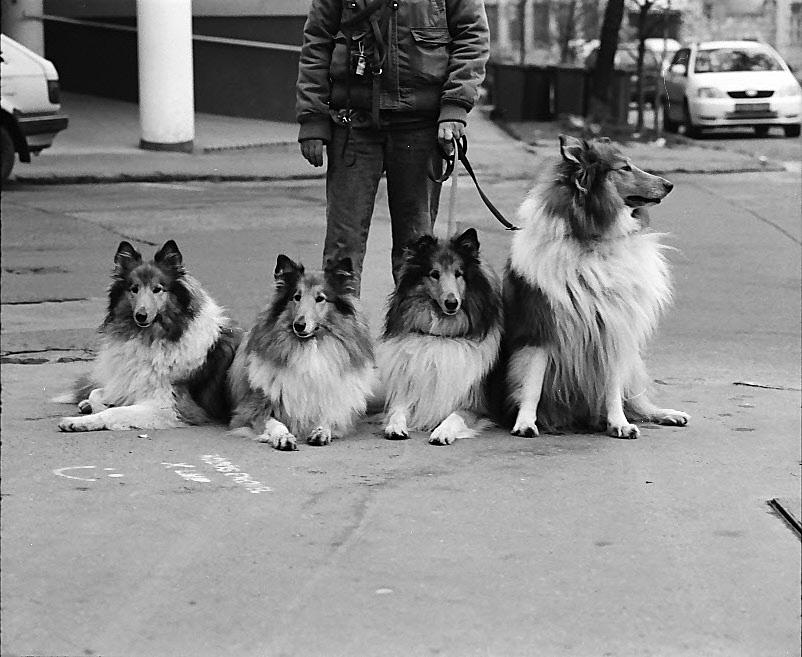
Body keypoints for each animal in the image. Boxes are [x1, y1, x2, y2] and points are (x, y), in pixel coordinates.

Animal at [54, 240, 241, 430]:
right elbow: (97, 392)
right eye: (134, 289)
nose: (141, 315)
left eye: (157, 289)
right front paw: (96, 404)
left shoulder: (170, 407)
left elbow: (115, 412)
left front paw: (79, 422)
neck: (154, 337)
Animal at [227, 256, 374, 452]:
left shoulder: (334, 406)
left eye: (320, 299)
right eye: (296, 297)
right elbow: (275, 423)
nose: (299, 325)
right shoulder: (249, 410)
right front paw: (283, 437)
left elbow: (328, 418)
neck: (308, 348)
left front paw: (321, 431)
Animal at [376, 227, 500, 446]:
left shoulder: (475, 404)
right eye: (434, 274)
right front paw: (395, 427)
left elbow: (455, 416)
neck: (442, 334)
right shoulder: (410, 392)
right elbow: (397, 411)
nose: (452, 303)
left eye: (459, 274)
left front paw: (442, 432)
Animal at [506, 135, 688, 438]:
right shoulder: (541, 328)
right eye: (624, 167)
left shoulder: (613, 325)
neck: (592, 237)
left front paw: (619, 424)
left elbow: (612, 388)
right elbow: (531, 383)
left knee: (637, 401)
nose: (669, 185)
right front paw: (525, 423)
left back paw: (667, 414)